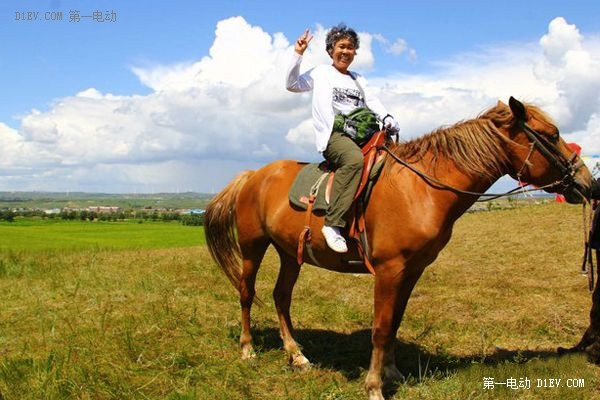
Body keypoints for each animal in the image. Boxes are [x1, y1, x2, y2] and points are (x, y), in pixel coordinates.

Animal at [204, 97, 592, 400]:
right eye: (552, 135)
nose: (589, 182)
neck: (421, 189)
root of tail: (253, 175)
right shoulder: (389, 270)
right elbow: (380, 326)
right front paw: (374, 386)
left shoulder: (412, 270)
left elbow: (394, 322)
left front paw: (392, 373)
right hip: (253, 247)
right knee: (246, 292)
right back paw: (248, 349)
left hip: (289, 254)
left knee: (281, 297)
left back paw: (296, 355)